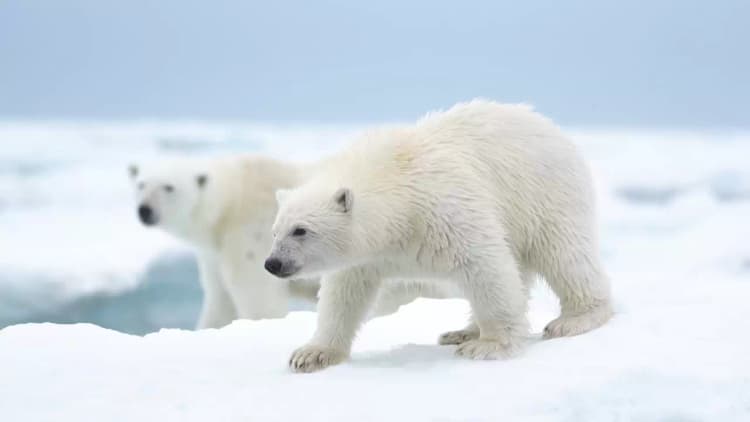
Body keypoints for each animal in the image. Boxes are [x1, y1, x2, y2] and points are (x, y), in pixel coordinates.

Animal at [129, 155, 460, 329]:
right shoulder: (215, 254)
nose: (145, 210)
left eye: (168, 187)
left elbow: (259, 299)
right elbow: (219, 301)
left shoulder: (250, 234)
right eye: (141, 183)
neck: (230, 201)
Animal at [266, 99, 614, 372]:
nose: (272, 263)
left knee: (563, 253)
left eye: (301, 230)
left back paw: (575, 318)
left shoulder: (445, 209)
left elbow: (485, 266)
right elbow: (344, 294)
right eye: (275, 230)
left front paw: (489, 346)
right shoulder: (367, 255)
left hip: (545, 195)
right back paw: (461, 331)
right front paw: (311, 354)